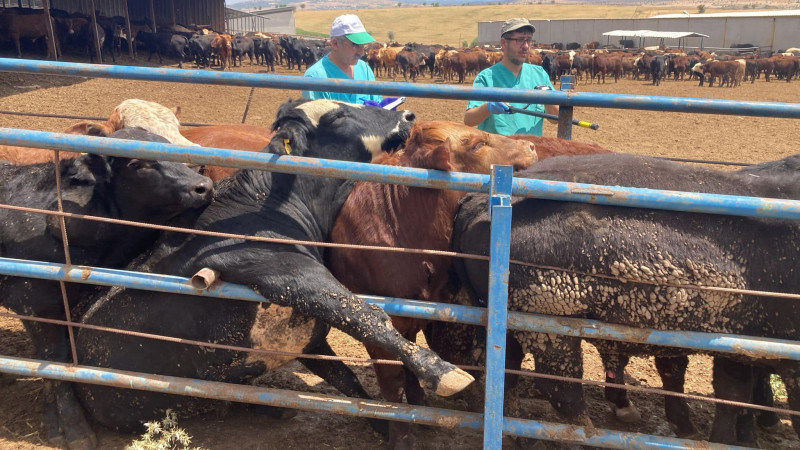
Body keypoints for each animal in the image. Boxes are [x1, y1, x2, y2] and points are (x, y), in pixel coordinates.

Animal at [0, 128, 216, 448]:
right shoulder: (34, 301)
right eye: (137, 164)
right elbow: (54, 359)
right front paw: (71, 428)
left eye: (169, 146)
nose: (204, 186)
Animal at [446, 153, 800, 444]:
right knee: (562, 390)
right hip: (552, 332)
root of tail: (480, 201)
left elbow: (733, 395)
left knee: (505, 374)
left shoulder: (738, 342)